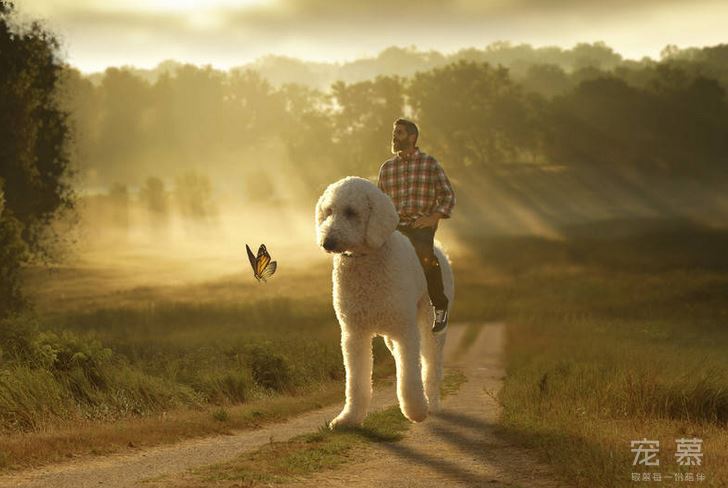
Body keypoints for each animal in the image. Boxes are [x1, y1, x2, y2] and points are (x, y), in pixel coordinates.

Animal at [314, 176, 456, 428]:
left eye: (351, 212)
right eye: (328, 211)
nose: (327, 242)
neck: (366, 259)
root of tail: (440, 248)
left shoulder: (405, 331)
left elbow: (409, 377)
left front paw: (416, 411)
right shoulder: (354, 334)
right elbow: (356, 382)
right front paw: (349, 418)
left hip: (430, 323)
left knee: (430, 364)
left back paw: (432, 404)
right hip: (390, 334)